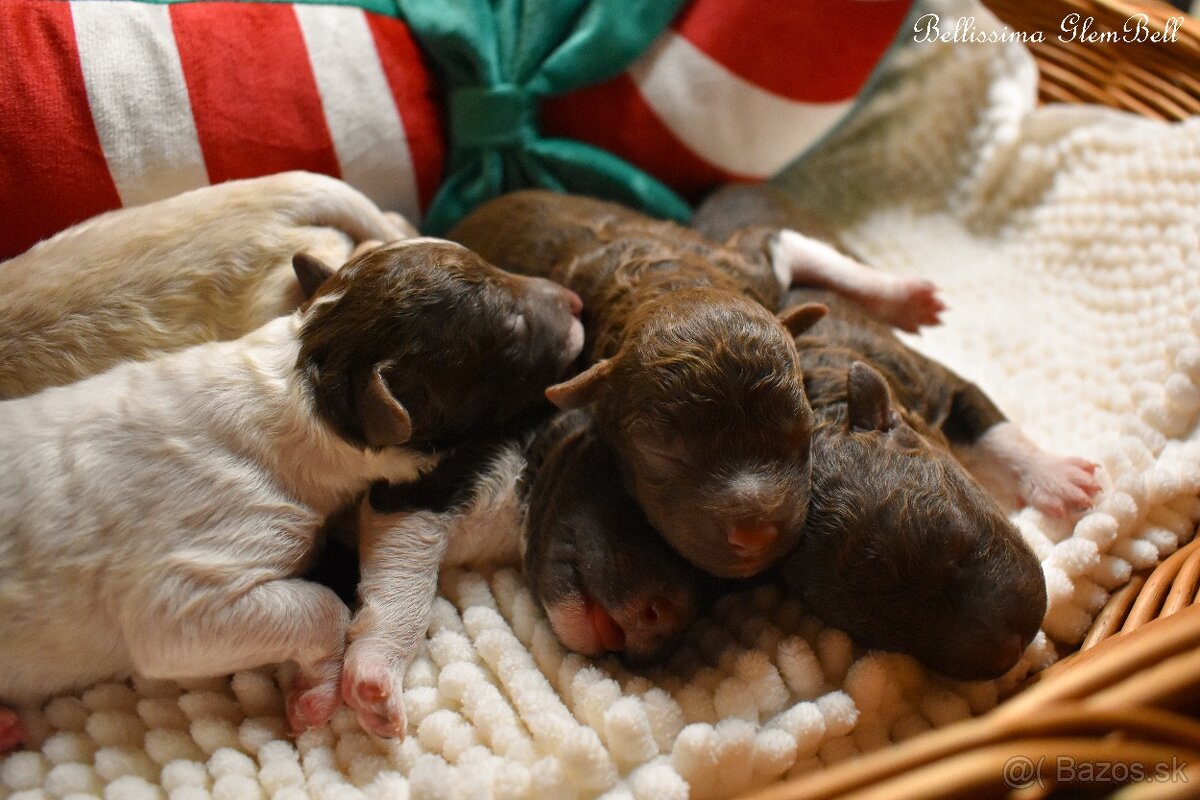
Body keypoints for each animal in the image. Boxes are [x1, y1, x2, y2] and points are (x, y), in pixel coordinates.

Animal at [0, 237, 583, 753]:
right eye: (512, 328)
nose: (577, 302)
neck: (303, 381)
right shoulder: (189, 583)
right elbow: (322, 605)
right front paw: (321, 691)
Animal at [446, 190, 940, 578]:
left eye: (802, 429)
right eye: (660, 456)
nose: (754, 534)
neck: (669, 286)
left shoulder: (751, 265)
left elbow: (800, 247)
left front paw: (905, 298)